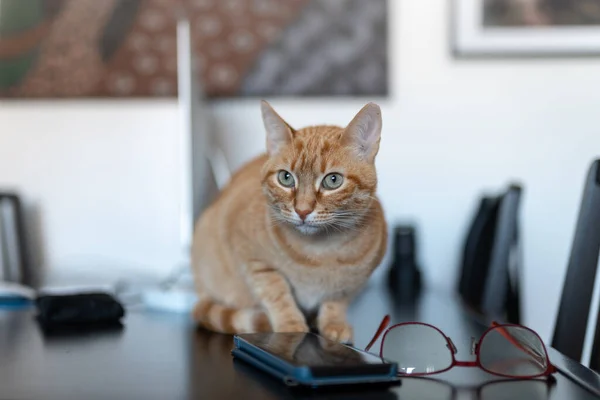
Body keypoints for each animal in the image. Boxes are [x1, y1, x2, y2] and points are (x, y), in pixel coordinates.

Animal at [192, 100, 390, 340]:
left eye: (333, 180)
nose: (302, 210)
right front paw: (291, 326)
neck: (320, 251)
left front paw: (334, 324)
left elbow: (336, 300)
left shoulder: (352, 284)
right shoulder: (251, 257)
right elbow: (277, 293)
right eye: (285, 178)